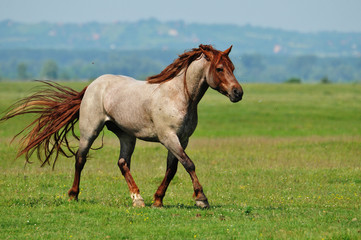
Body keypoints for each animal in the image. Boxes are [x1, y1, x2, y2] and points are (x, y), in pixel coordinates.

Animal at [0, 45, 242, 208]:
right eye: (219, 68)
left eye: (233, 67)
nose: (238, 93)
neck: (179, 96)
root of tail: (93, 84)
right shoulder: (168, 137)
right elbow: (188, 164)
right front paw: (201, 199)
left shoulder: (181, 139)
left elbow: (172, 169)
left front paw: (158, 200)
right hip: (90, 130)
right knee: (80, 158)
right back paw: (73, 194)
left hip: (127, 135)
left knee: (123, 163)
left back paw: (138, 198)